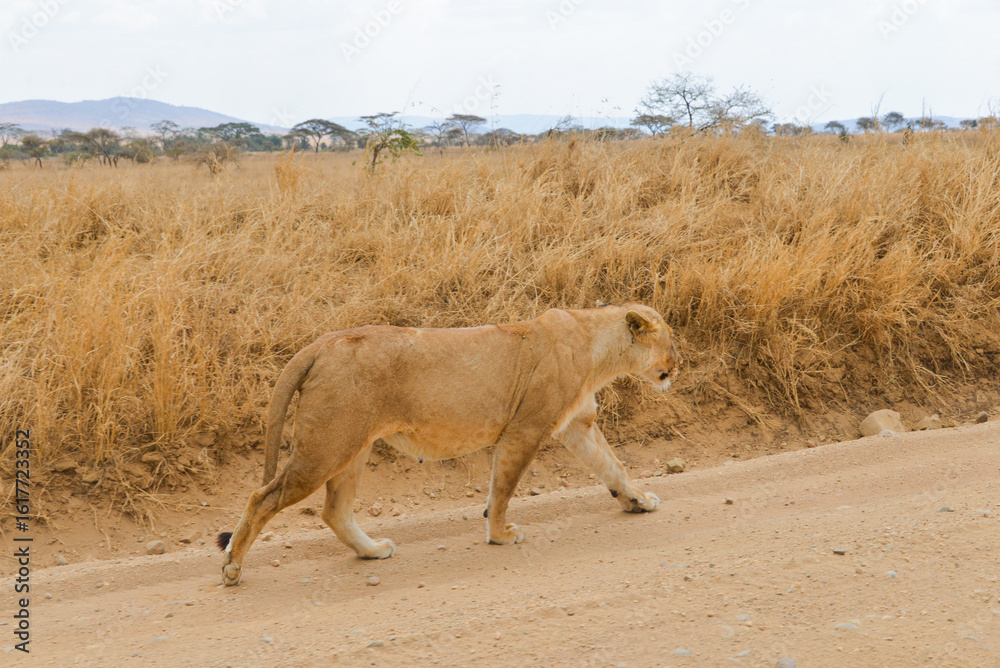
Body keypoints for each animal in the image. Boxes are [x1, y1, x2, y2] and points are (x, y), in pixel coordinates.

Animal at [217, 303, 681, 585]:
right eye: (672, 342)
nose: (679, 365)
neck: (597, 346)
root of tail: (320, 343)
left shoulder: (577, 425)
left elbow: (613, 466)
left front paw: (638, 501)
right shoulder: (525, 429)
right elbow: (503, 489)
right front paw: (500, 535)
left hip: (351, 447)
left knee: (335, 510)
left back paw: (372, 551)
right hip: (326, 448)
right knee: (263, 497)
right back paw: (233, 567)